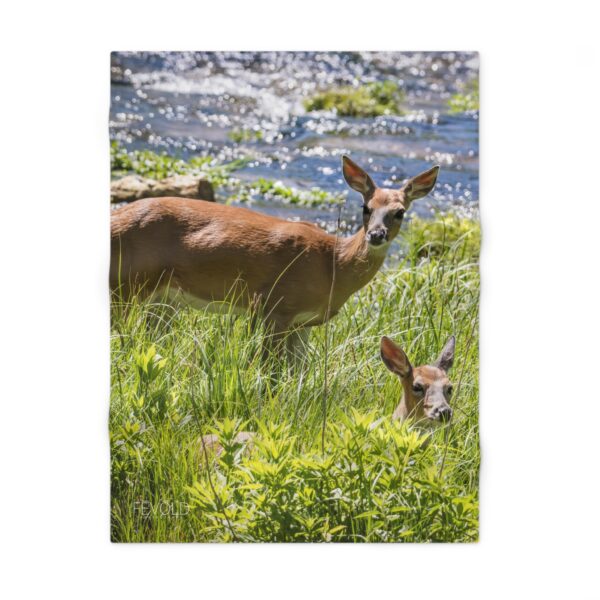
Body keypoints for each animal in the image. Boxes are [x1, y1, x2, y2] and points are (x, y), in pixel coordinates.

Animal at [111, 155, 440, 358]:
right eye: (366, 208)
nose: (376, 235)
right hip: (125, 285)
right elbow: (269, 370)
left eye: (400, 212)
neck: (334, 265)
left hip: (162, 299)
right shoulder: (275, 306)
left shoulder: (302, 323)